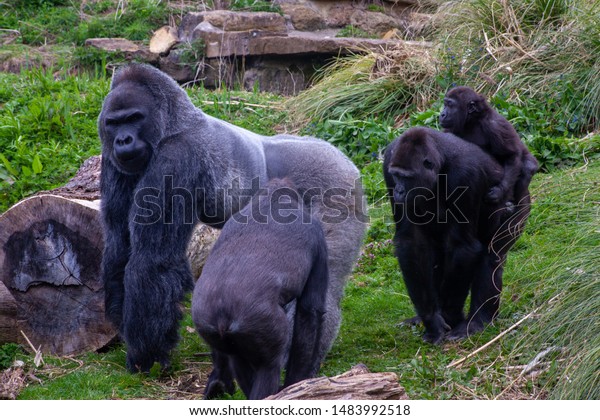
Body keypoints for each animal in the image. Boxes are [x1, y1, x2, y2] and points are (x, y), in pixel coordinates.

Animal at [97, 64, 366, 372]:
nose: (123, 139)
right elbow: (120, 245)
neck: (172, 124)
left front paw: (146, 356)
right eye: (114, 123)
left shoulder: (178, 157)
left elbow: (153, 261)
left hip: (337, 188)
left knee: (326, 287)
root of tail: (344, 159)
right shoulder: (112, 160)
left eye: (134, 118)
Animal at [192, 178, 330, 400]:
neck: (271, 200)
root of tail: (222, 315)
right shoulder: (318, 236)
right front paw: (298, 381)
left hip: (207, 324)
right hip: (261, 325)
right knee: (270, 366)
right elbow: (311, 310)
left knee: (236, 359)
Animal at [384, 128, 528, 344]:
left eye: (407, 178)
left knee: (491, 257)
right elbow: (412, 243)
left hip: (520, 205)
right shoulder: (388, 162)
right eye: (396, 176)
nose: (399, 191)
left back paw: (478, 321)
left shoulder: (465, 175)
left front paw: (449, 316)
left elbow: (464, 247)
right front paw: (431, 319)